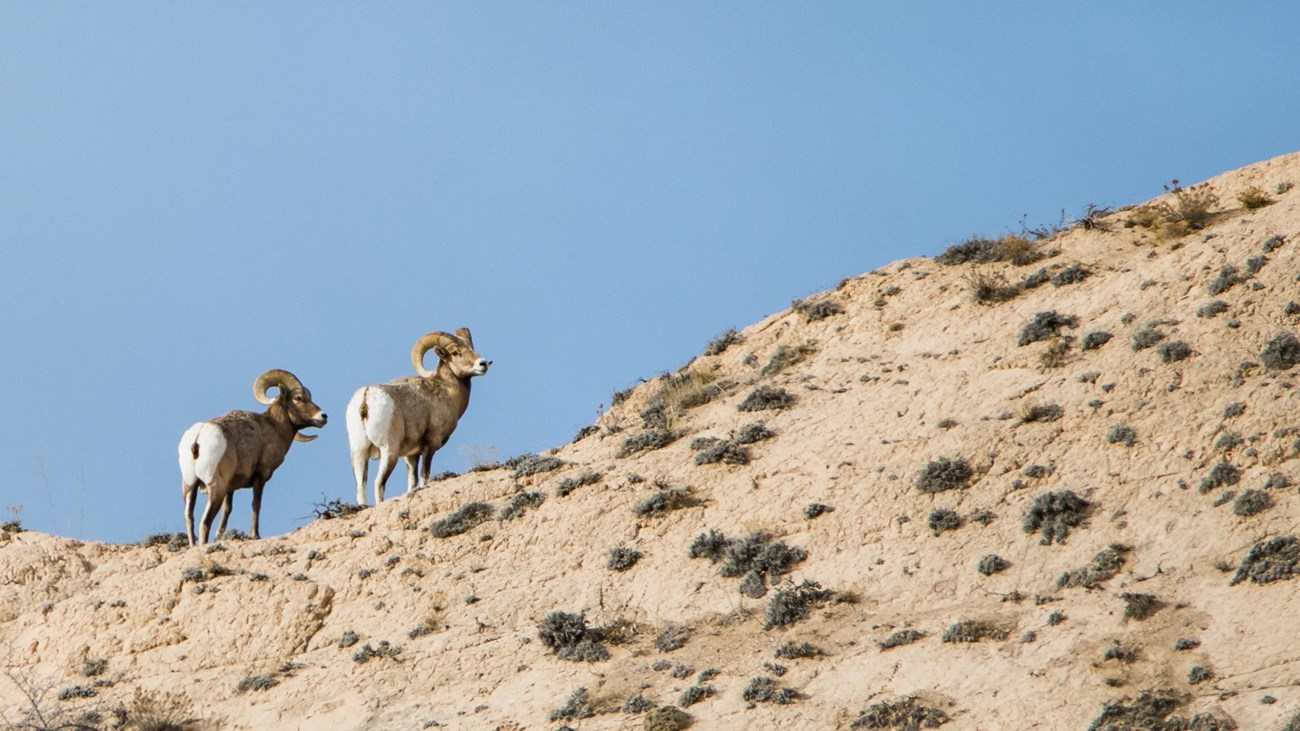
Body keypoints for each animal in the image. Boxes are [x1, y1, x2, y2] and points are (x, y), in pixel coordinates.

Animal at [178, 366, 327, 543]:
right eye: (298, 398)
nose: (323, 416)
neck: (274, 427)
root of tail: (198, 437)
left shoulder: (230, 487)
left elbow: (227, 510)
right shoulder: (260, 477)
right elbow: (256, 504)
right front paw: (255, 535)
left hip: (190, 486)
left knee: (189, 518)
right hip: (215, 488)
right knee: (205, 521)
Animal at [345, 329, 491, 504]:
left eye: (472, 348)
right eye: (456, 352)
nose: (483, 363)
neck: (447, 390)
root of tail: (366, 397)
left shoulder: (410, 456)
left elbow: (412, 482)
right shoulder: (430, 444)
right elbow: (424, 476)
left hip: (359, 453)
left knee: (361, 488)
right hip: (389, 451)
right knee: (379, 483)